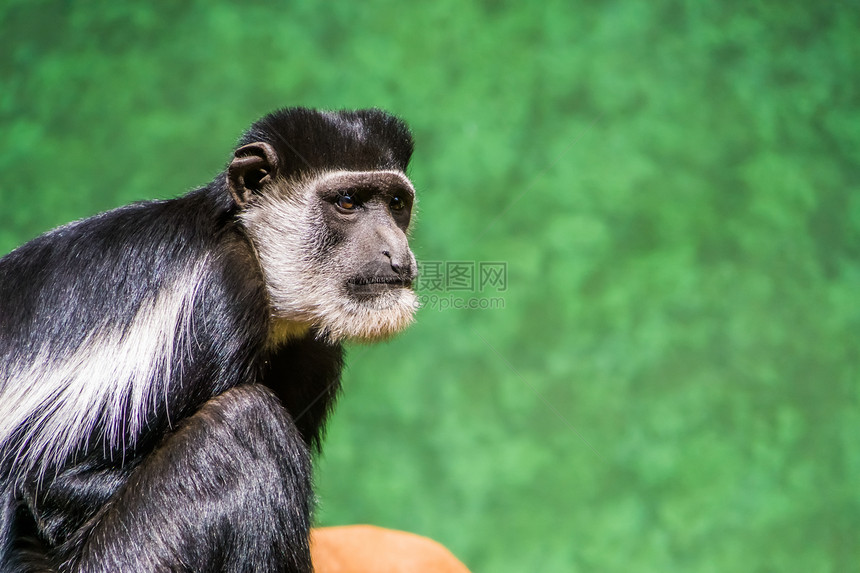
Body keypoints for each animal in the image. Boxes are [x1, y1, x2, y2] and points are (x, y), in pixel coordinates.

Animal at [0, 108, 420, 572]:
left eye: (396, 204)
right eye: (347, 202)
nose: (396, 253)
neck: (252, 244)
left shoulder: (313, 350)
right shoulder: (219, 293)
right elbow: (57, 487)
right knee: (243, 423)